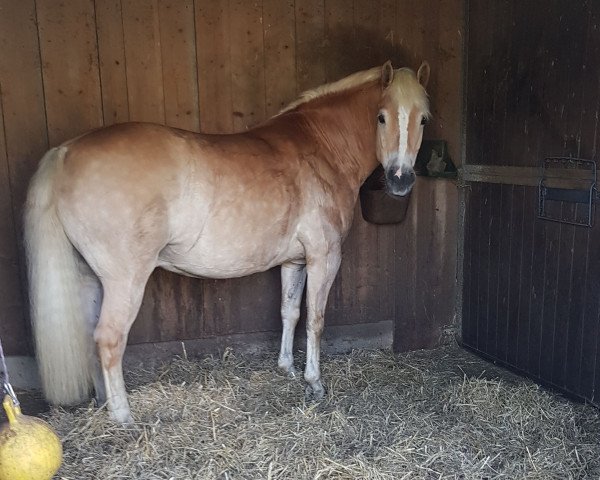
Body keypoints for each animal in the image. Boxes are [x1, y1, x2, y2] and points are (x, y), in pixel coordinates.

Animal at [25, 61, 428, 424]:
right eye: (381, 117)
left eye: (423, 119)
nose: (400, 179)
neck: (322, 146)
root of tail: (65, 152)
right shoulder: (323, 257)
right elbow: (315, 319)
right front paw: (314, 383)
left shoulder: (294, 261)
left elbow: (290, 312)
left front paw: (287, 369)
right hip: (124, 280)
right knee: (109, 339)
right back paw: (123, 416)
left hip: (89, 278)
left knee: (90, 337)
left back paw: (102, 403)